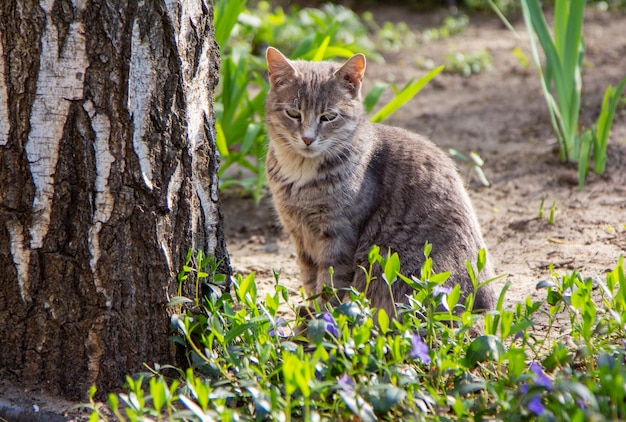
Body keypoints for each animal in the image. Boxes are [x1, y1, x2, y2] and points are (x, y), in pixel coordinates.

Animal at [262, 47, 492, 318]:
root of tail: (484, 302)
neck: (300, 174)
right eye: (293, 113)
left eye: (328, 117)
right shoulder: (298, 235)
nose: (308, 139)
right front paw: (310, 311)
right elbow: (309, 280)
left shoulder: (339, 236)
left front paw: (322, 317)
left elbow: (330, 284)